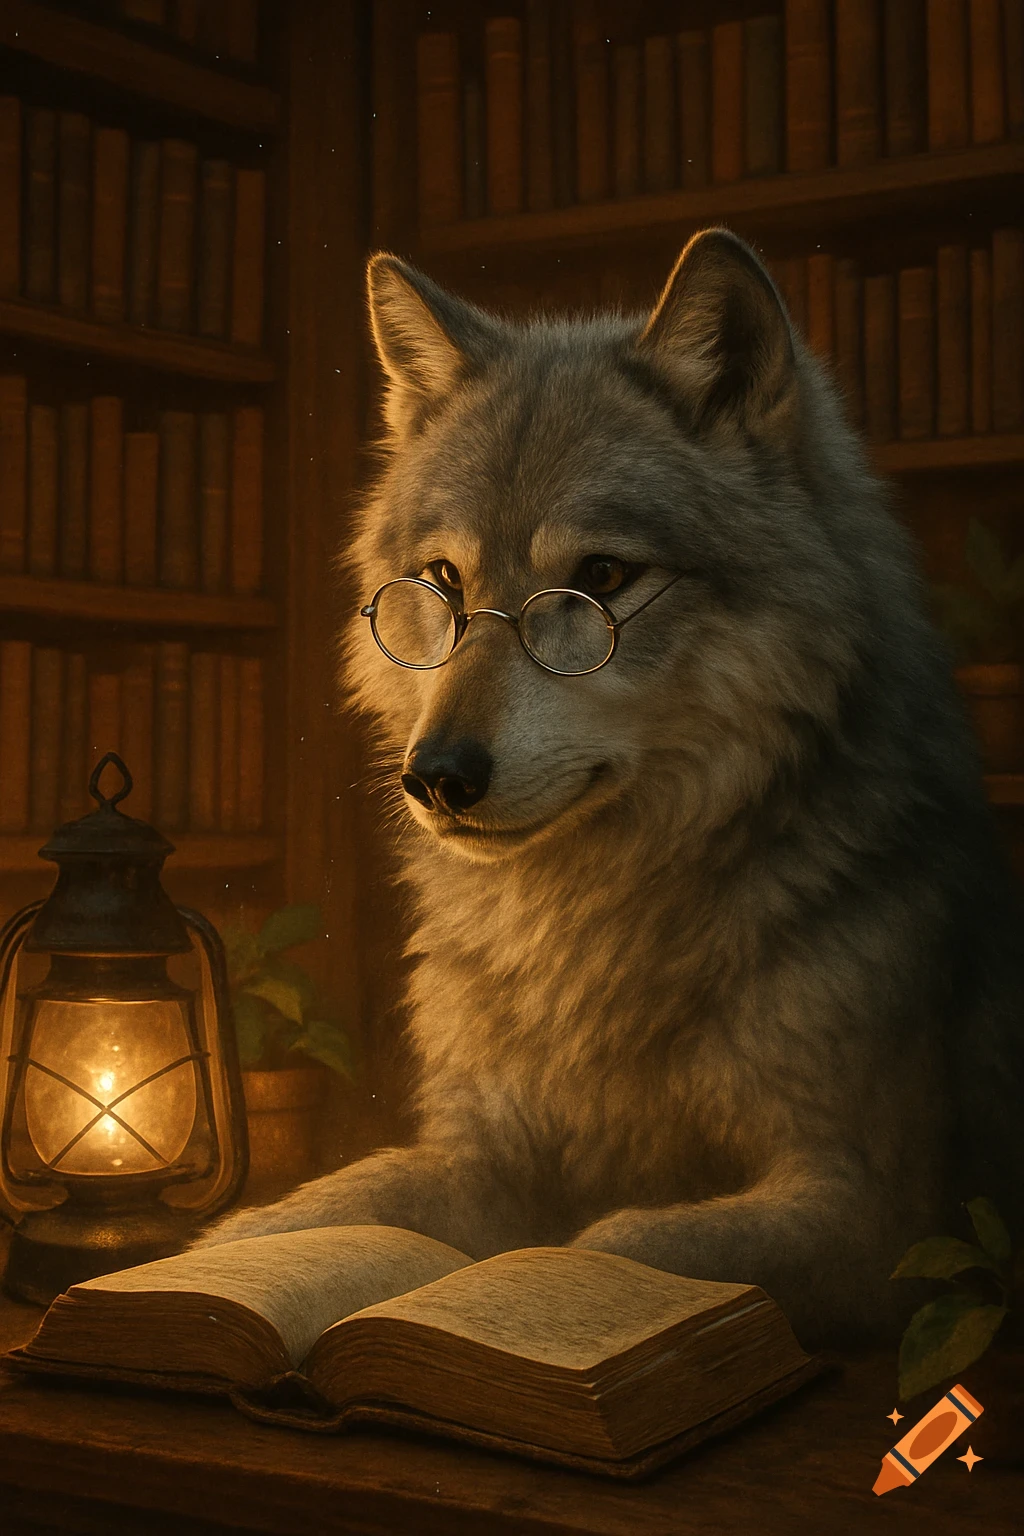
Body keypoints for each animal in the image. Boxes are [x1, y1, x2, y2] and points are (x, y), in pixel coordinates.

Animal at [202, 227, 1024, 1346]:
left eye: (598, 578)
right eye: (446, 582)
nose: (436, 777)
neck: (591, 933)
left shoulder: (878, 1215)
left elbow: (610, 1246)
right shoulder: (479, 1153)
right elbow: (315, 1205)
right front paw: (180, 1274)